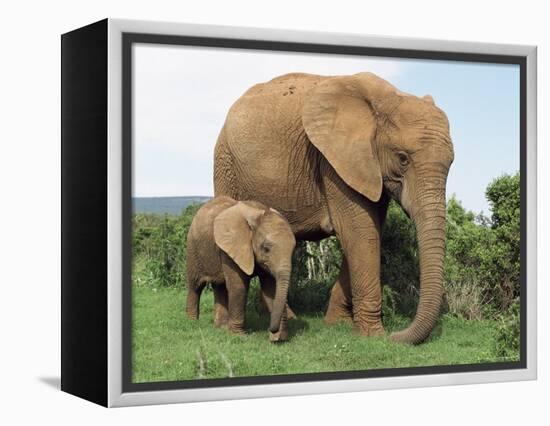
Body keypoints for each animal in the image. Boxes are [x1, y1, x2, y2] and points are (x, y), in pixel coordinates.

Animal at [185, 197, 298, 342]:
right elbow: (239, 287)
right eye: (266, 248)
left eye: (293, 250)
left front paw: (278, 338)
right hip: (193, 249)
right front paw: (240, 336)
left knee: (220, 286)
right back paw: (193, 322)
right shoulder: (230, 247)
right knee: (195, 286)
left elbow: (271, 289)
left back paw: (221, 327)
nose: (271, 329)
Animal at [213, 70, 454, 342]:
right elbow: (360, 232)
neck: (386, 98)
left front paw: (337, 323)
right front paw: (372, 336)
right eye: (402, 159)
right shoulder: (333, 161)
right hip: (225, 162)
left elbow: (368, 231)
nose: (396, 335)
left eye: (451, 162)